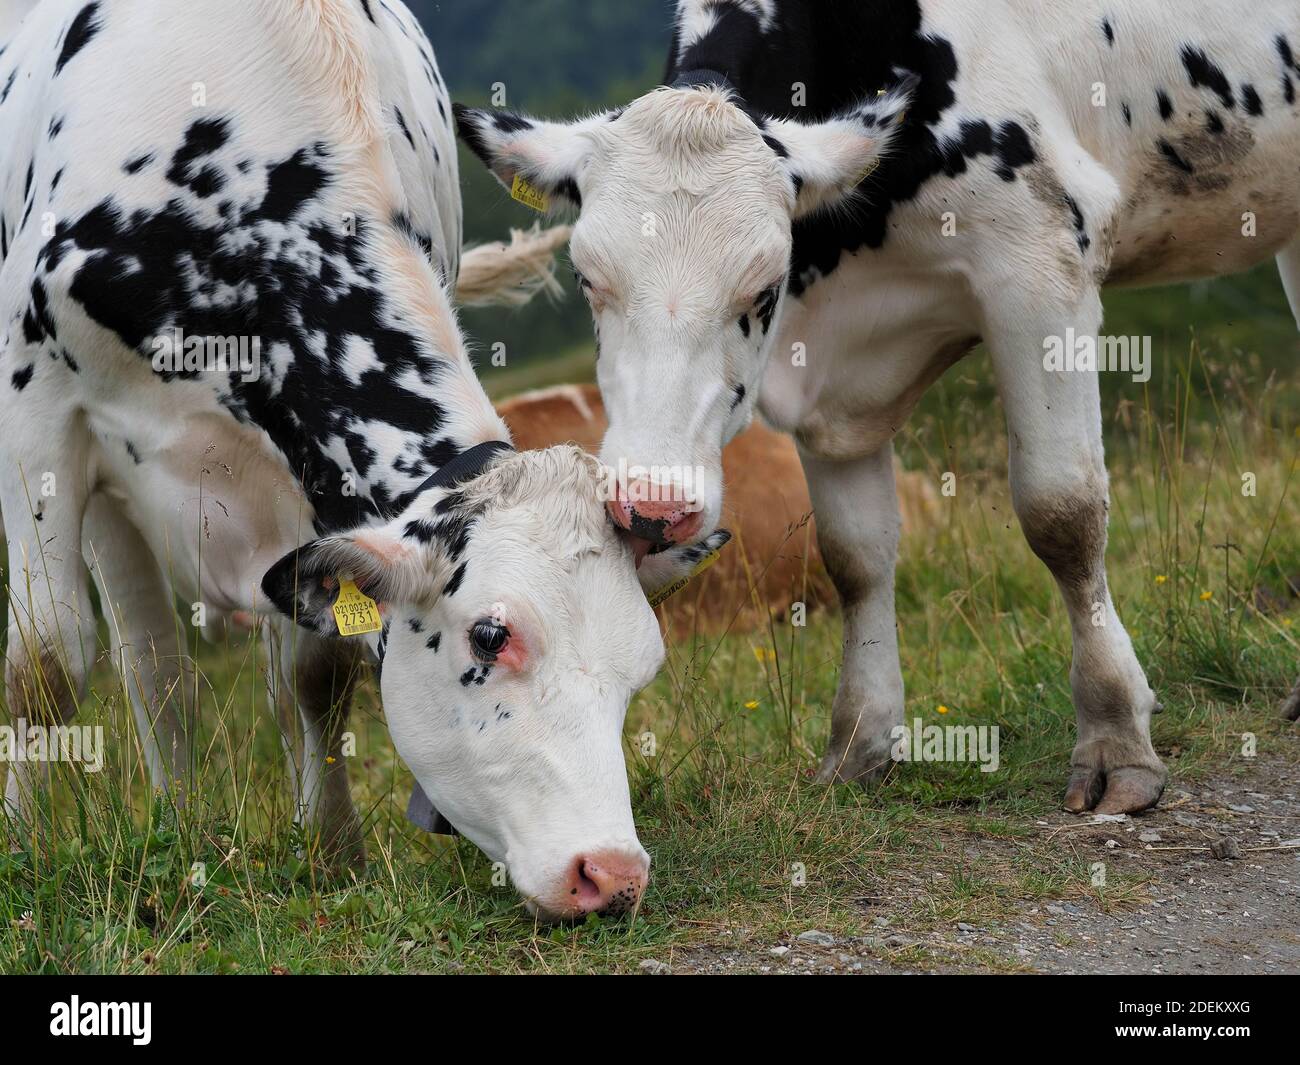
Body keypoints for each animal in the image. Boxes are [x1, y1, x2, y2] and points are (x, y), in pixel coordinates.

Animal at [0, 0, 721, 921]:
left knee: (163, 669)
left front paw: (332, 847)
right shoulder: (35, 405)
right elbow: (47, 663)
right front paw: (20, 856)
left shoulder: (306, 477)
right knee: (147, 656)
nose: (612, 872)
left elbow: (317, 669)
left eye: (643, 668)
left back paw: (184, 825)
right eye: (491, 635)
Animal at [457, 0, 1300, 814]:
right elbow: (854, 555)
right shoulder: (828, 380)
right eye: (588, 280)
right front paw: (860, 746)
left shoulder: (1037, 269)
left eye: (763, 288)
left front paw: (1116, 739)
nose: (653, 505)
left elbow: (1062, 512)